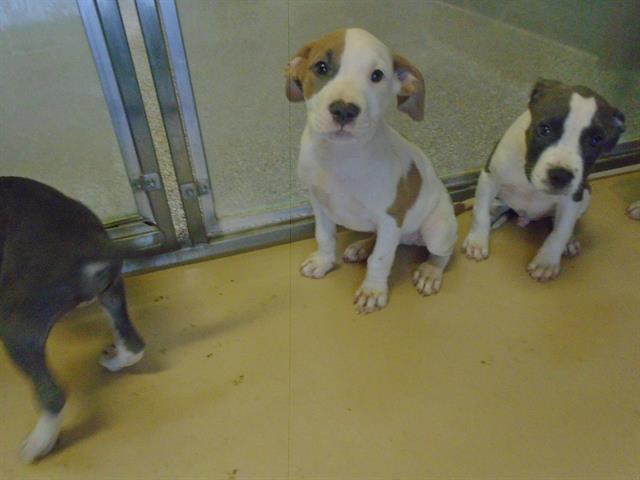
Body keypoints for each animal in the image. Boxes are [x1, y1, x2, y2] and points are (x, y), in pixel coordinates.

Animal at [284, 28, 456, 314]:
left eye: (377, 75)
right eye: (321, 67)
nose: (344, 110)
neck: (340, 157)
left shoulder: (390, 218)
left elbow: (381, 258)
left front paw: (373, 291)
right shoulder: (319, 204)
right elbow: (325, 236)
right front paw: (323, 261)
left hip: (437, 228)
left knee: (443, 251)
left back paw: (431, 271)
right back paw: (361, 247)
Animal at [460, 79, 624, 282]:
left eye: (596, 140)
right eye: (544, 130)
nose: (561, 175)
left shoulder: (572, 200)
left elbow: (560, 232)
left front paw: (546, 262)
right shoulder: (490, 178)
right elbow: (480, 213)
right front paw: (477, 241)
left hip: (586, 194)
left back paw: (569, 242)